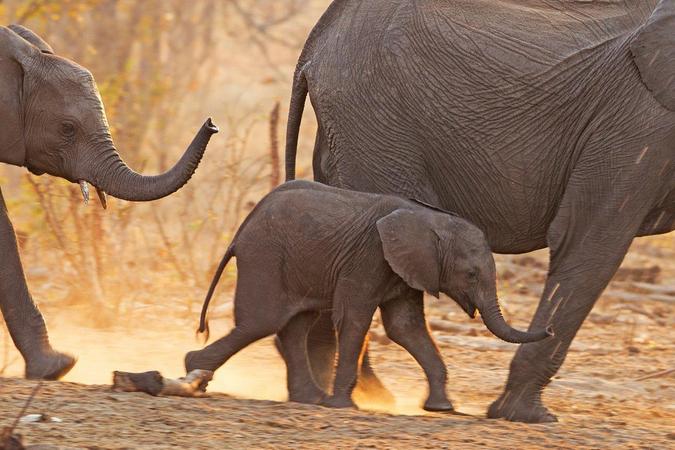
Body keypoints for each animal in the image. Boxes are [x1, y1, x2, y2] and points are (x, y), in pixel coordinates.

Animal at [186, 181, 556, 410]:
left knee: (293, 325)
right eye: (471, 275)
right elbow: (355, 318)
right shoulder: (369, 257)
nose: (551, 329)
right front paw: (343, 406)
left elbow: (405, 327)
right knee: (262, 321)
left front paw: (442, 407)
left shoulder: (404, 268)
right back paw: (194, 372)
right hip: (265, 255)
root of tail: (241, 230)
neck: (432, 218)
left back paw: (309, 398)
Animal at [286, 0, 675, 422]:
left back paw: (354, 391)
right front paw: (524, 415)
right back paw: (366, 396)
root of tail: (312, 46)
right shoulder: (638, 124)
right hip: (374, 121)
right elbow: (590, 240)